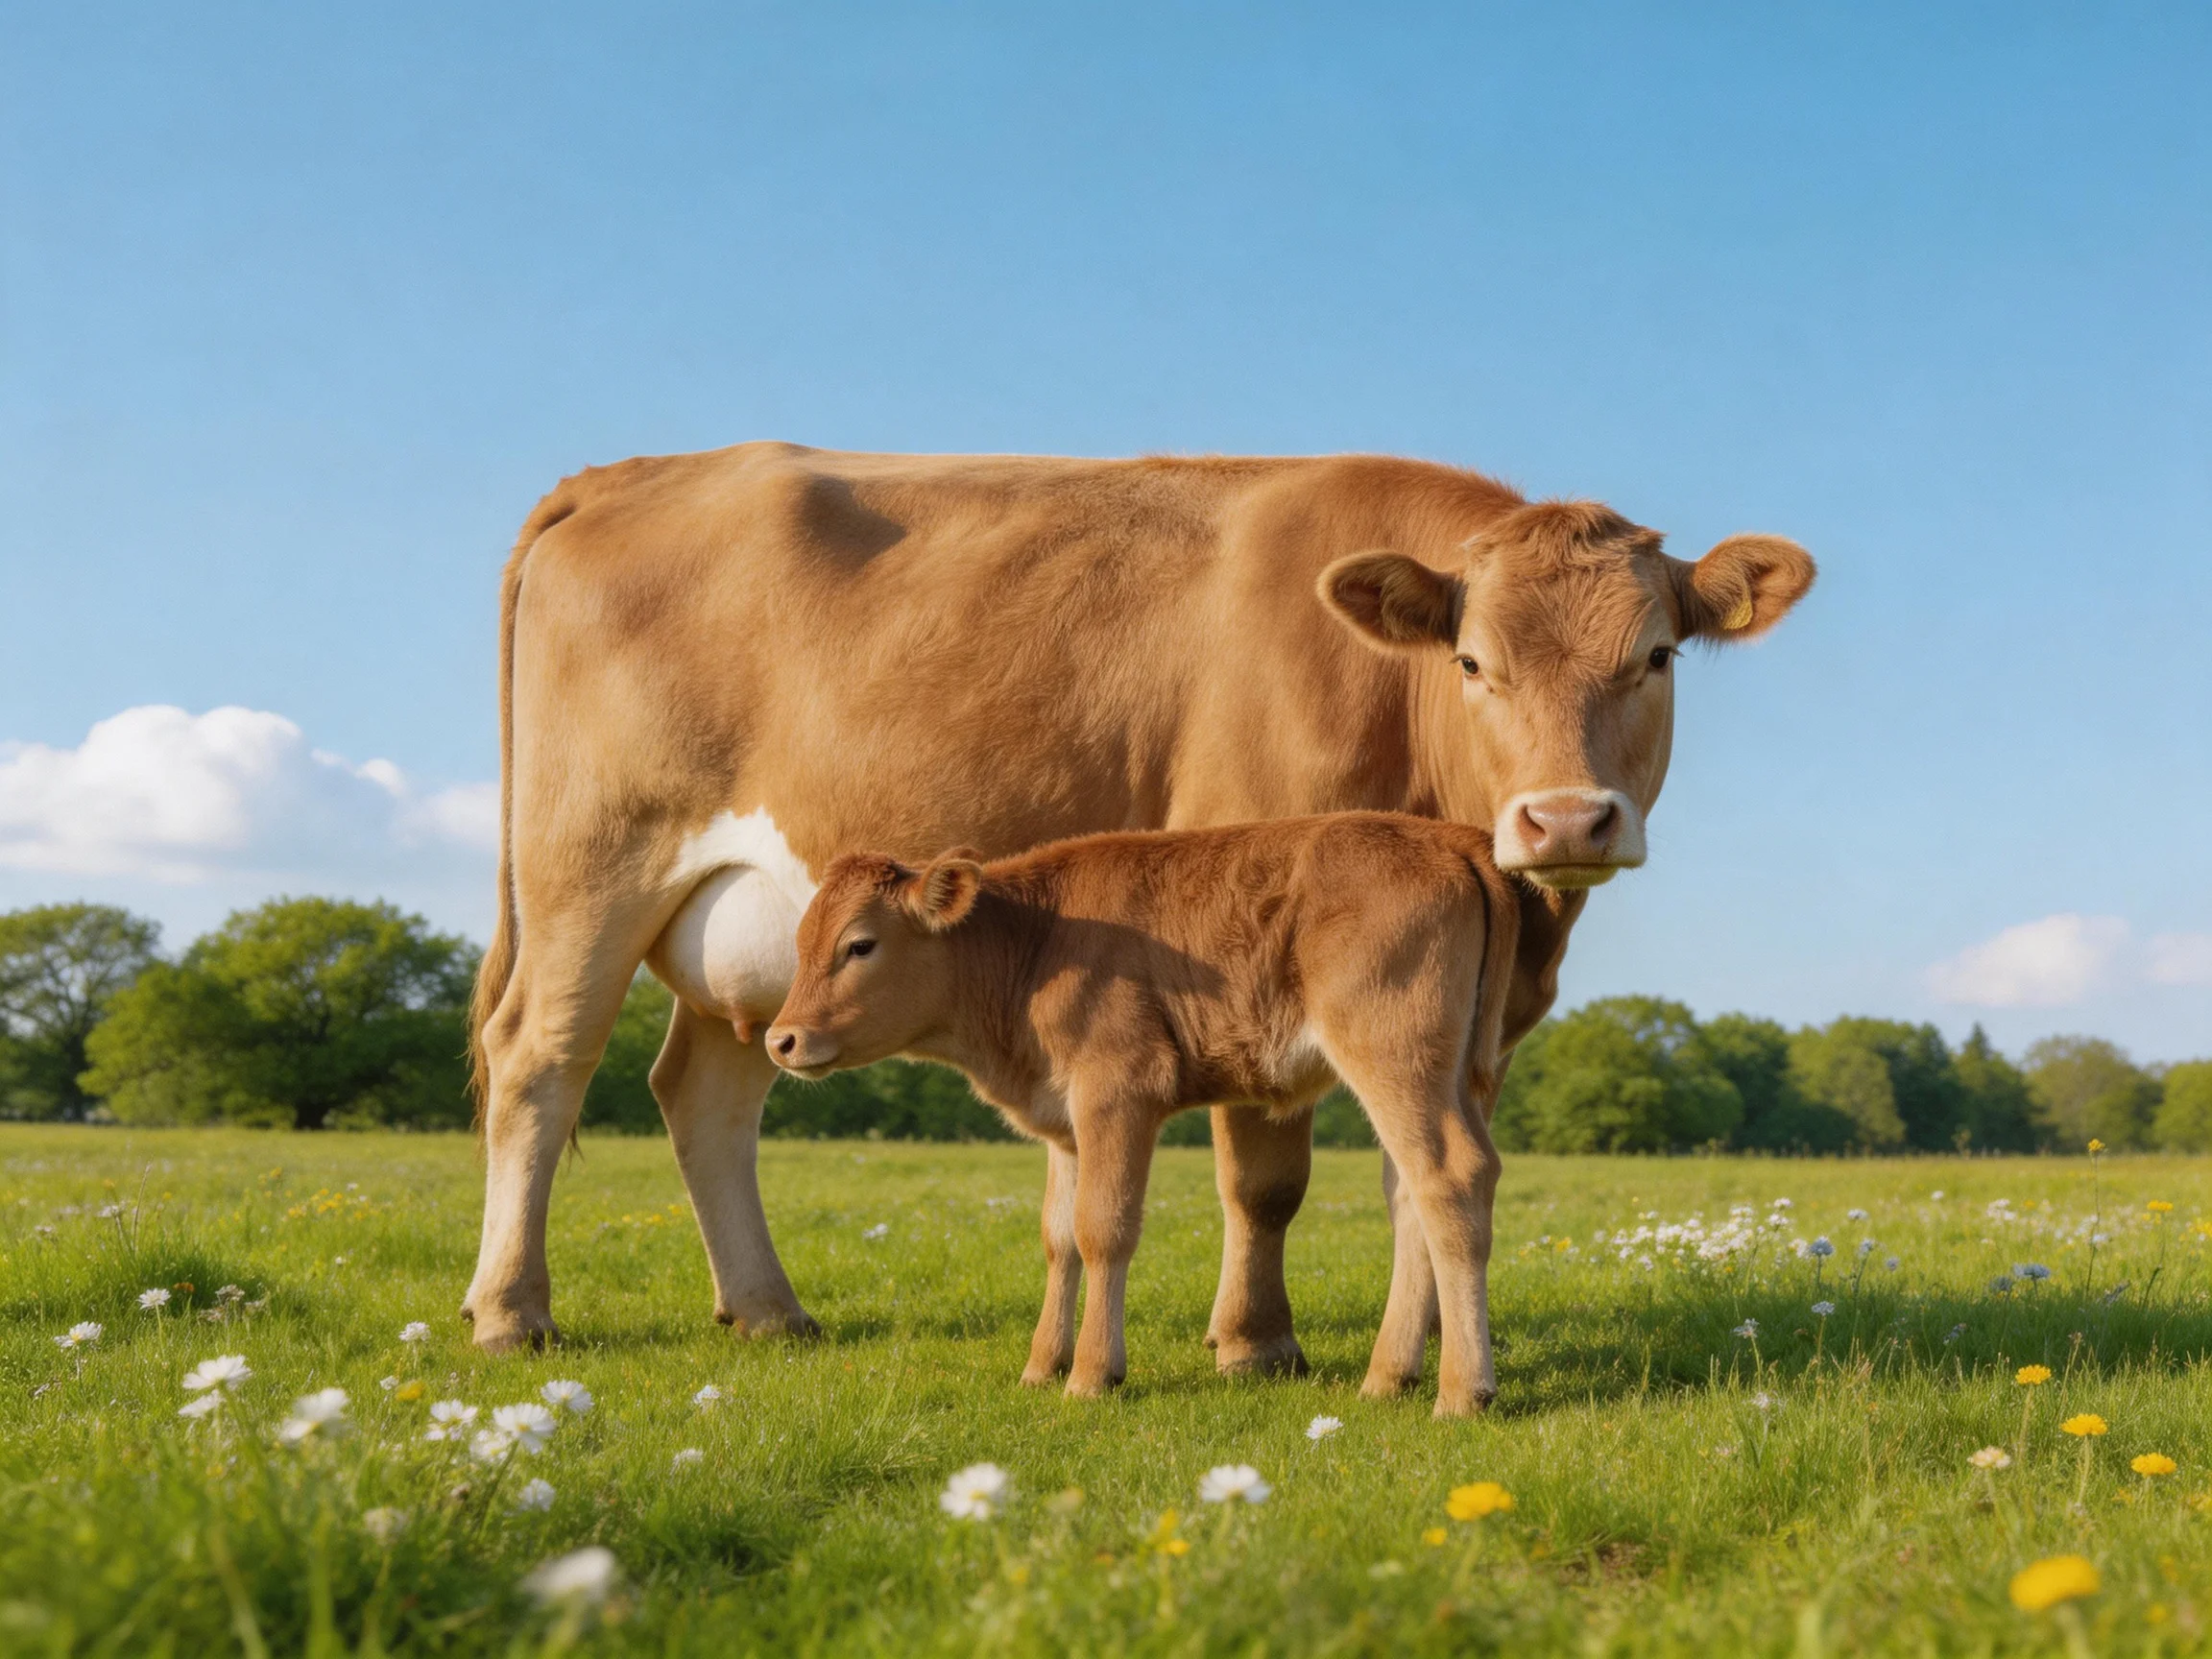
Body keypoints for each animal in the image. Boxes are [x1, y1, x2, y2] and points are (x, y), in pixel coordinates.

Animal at [765, 814, 1526, 1415]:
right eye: (800, 944)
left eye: (860, 943)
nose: (782, 1039)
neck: (1034, 945)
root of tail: (1447, 838)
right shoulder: (1065, 1123)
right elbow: (1058, 1236)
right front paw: (1041, 1366)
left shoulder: (1118, 1093)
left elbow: (1103, 1229)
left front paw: (1092, 1374)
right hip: (1454, 1078)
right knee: (1414, 1196)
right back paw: (1388, 1377)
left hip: (1393, 1056)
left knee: (1450, 1180)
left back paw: (1462, 1392)